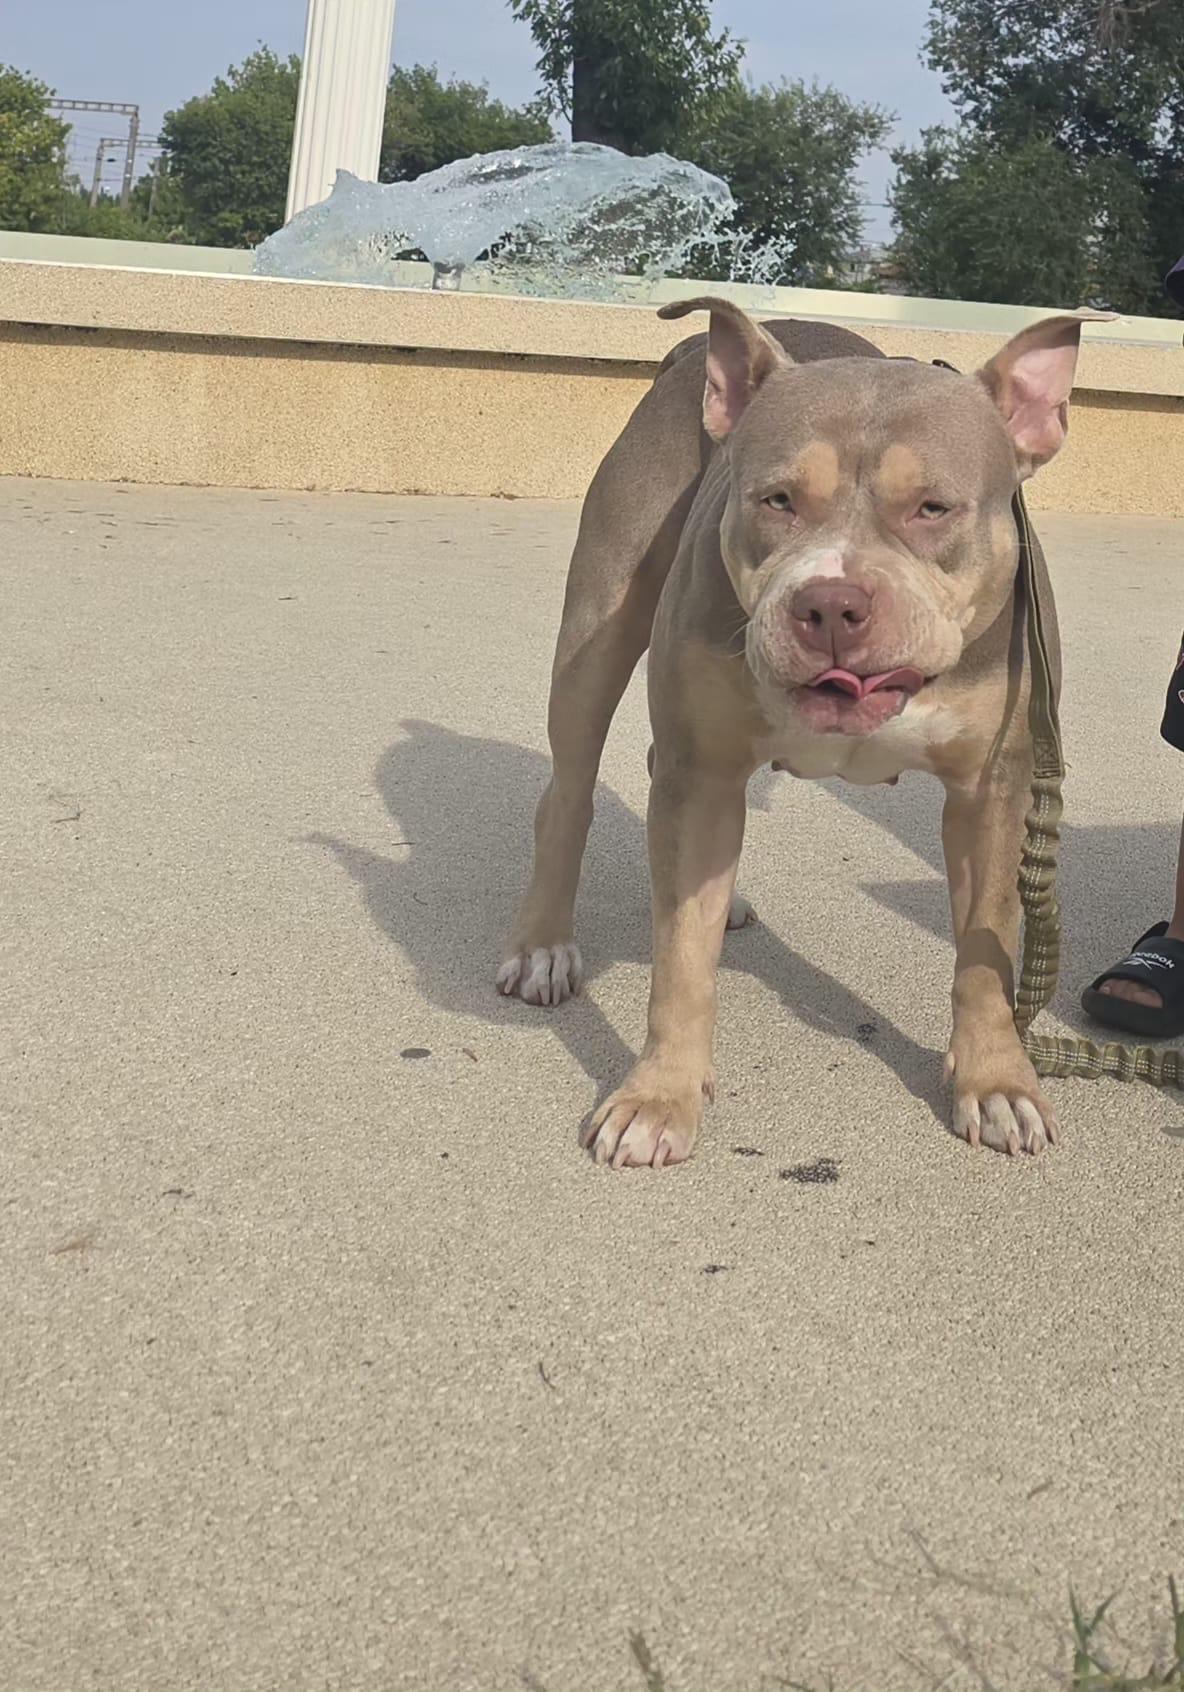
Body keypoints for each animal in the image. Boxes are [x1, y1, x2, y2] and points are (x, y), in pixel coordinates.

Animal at [497, 296, 1085, 1166]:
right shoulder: (701, 770)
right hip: (596, 635)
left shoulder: (993, 793)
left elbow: (986, 952)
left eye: (933, 508)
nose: (832, 604)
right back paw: (542, 946)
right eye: (776, 500)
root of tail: (689, 352)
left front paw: (996, 1082)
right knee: (567, 793)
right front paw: (659, 1096)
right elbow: (681, 961)